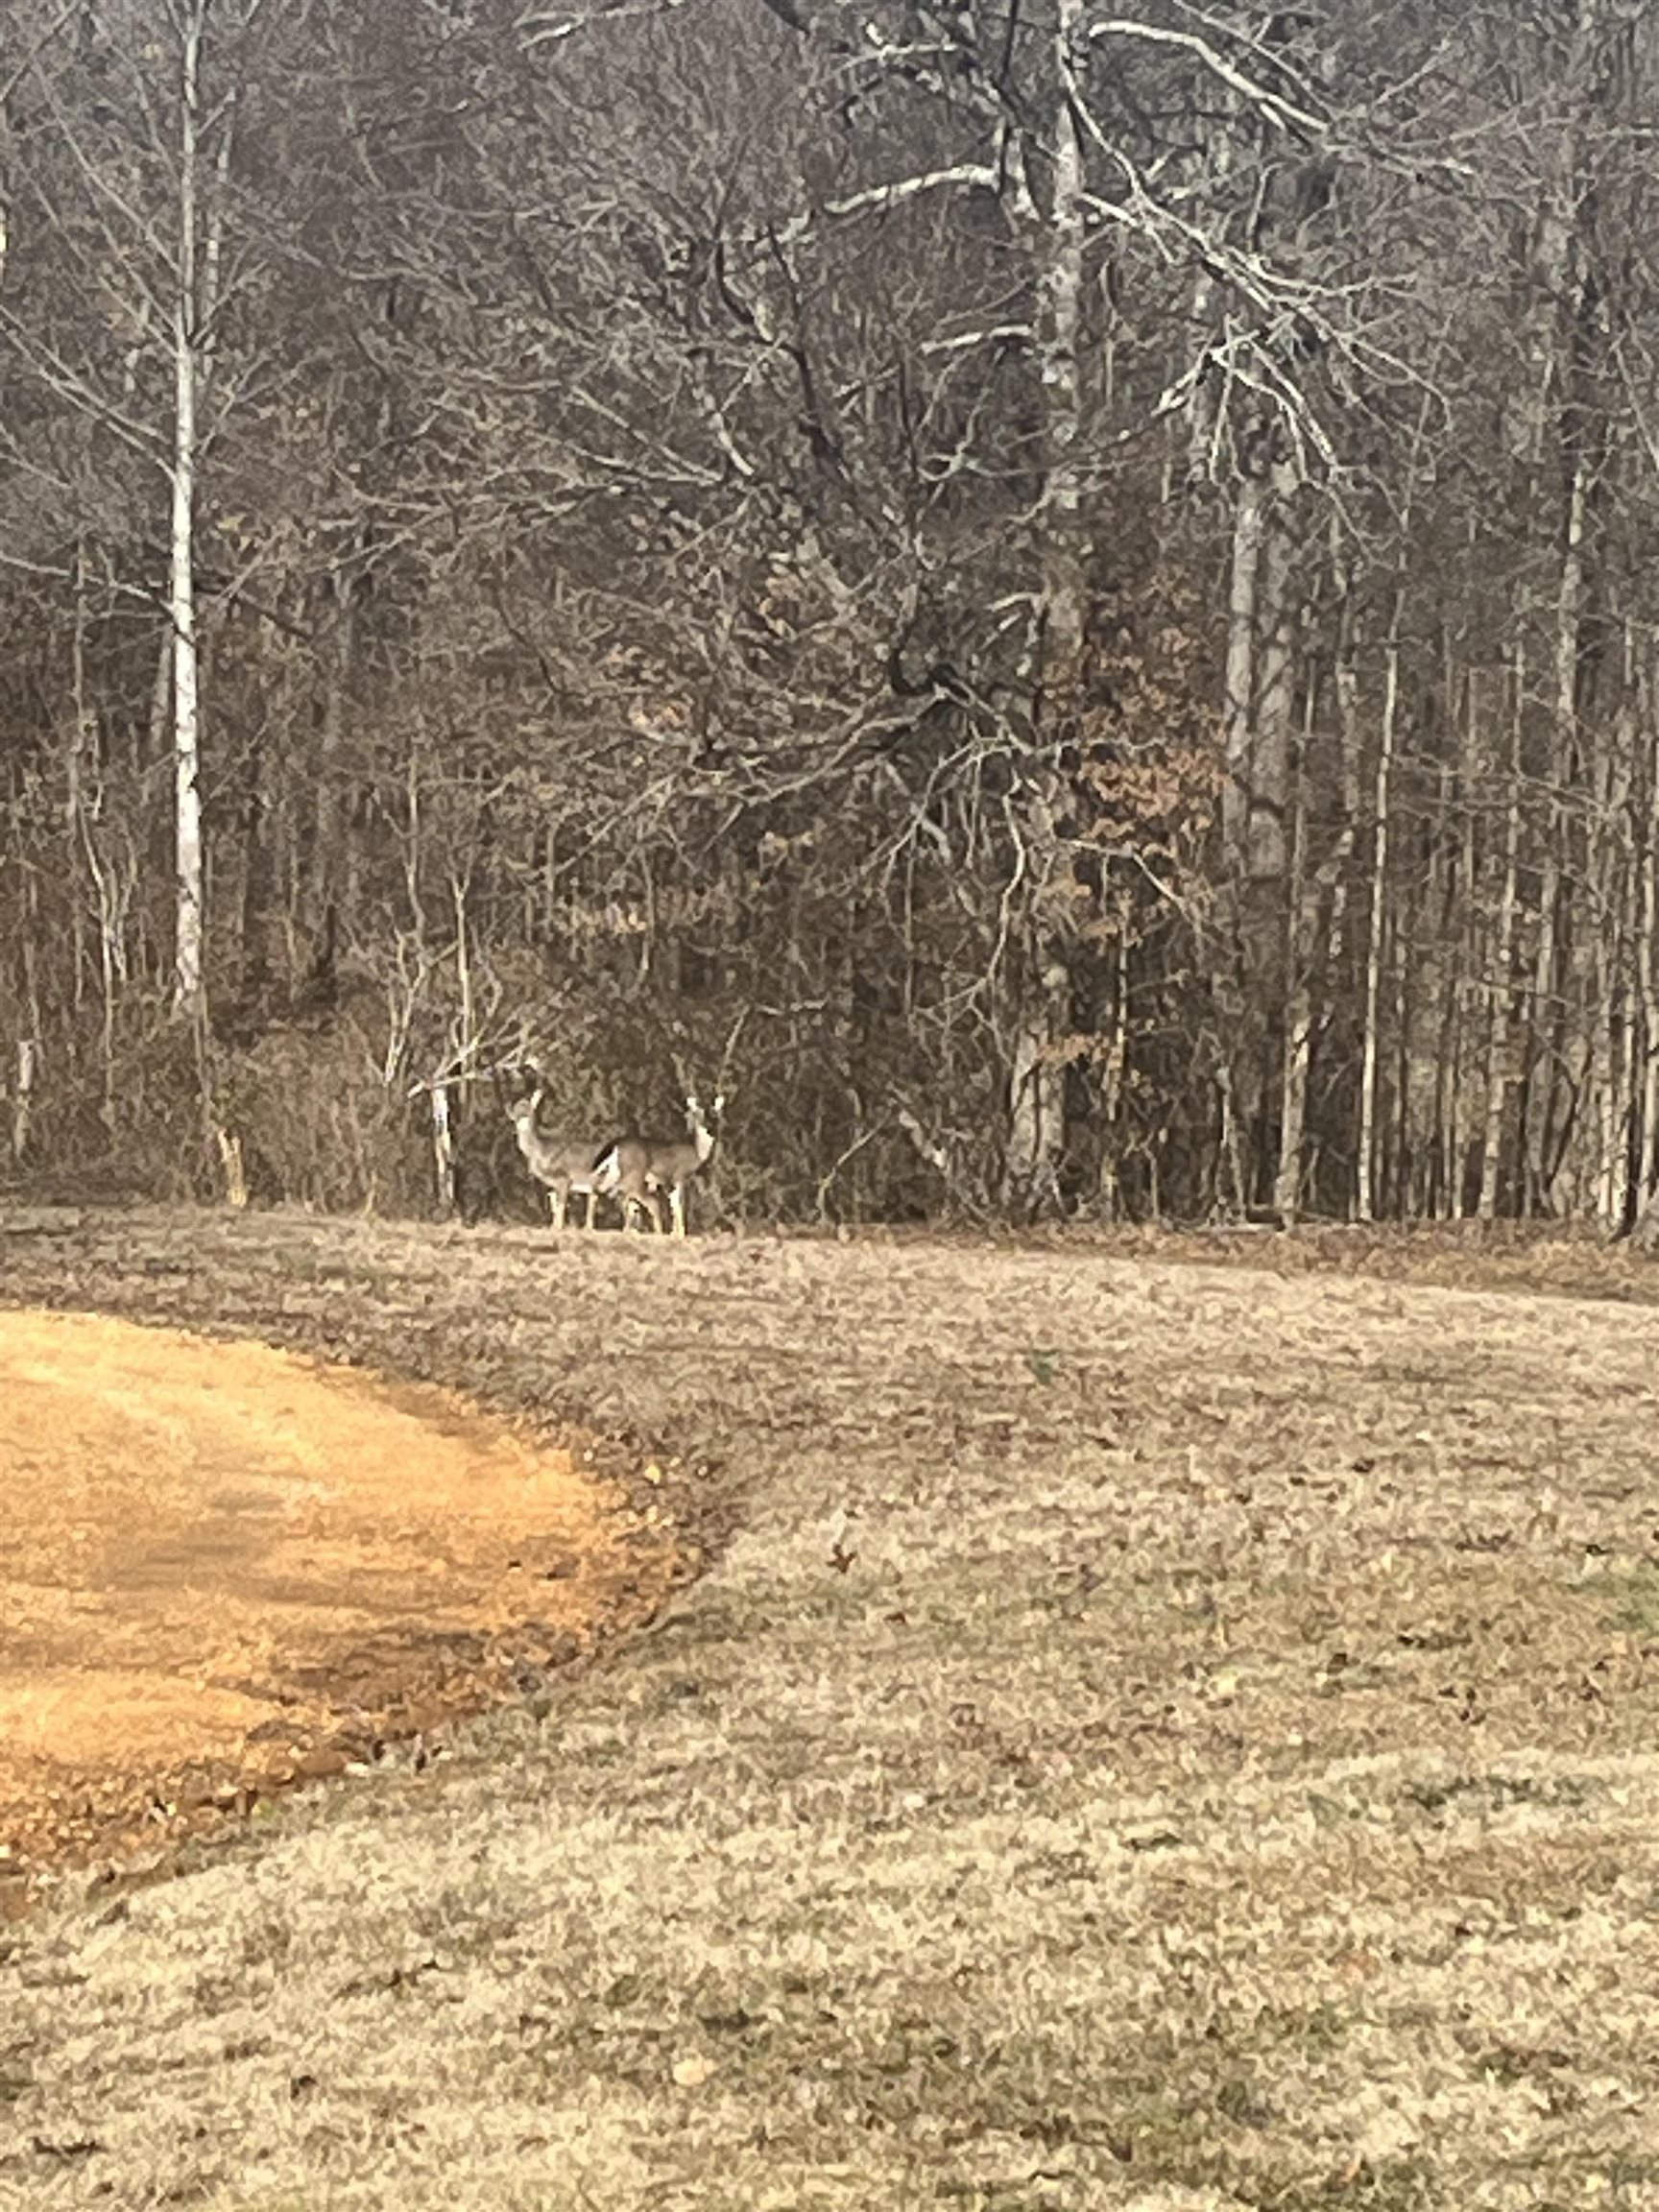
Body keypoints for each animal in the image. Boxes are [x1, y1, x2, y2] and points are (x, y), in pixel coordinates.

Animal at [507, 1089, 620, 1231]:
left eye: (526, 1106)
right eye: (516, 1107)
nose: (516, 1117)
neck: (541, 1152)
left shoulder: (564, 1179)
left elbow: (560, 1206)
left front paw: (558, 1228)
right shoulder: (553, 1186)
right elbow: (555, 1207)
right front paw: (552, 1227)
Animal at [597, 1093, 724, 1237]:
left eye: (715, 1113)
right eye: (698, 1113)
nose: (710, 1129)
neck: (696, 1151)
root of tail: (616, 1146)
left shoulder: (668, 1182)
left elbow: (673, 1203)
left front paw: (674, 1233)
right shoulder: (679, 1176)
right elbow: (679, 1204)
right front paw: (680, 1234)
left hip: (614, 1172)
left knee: (607, 1191)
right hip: (632, 1173)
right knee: (621, 1194)